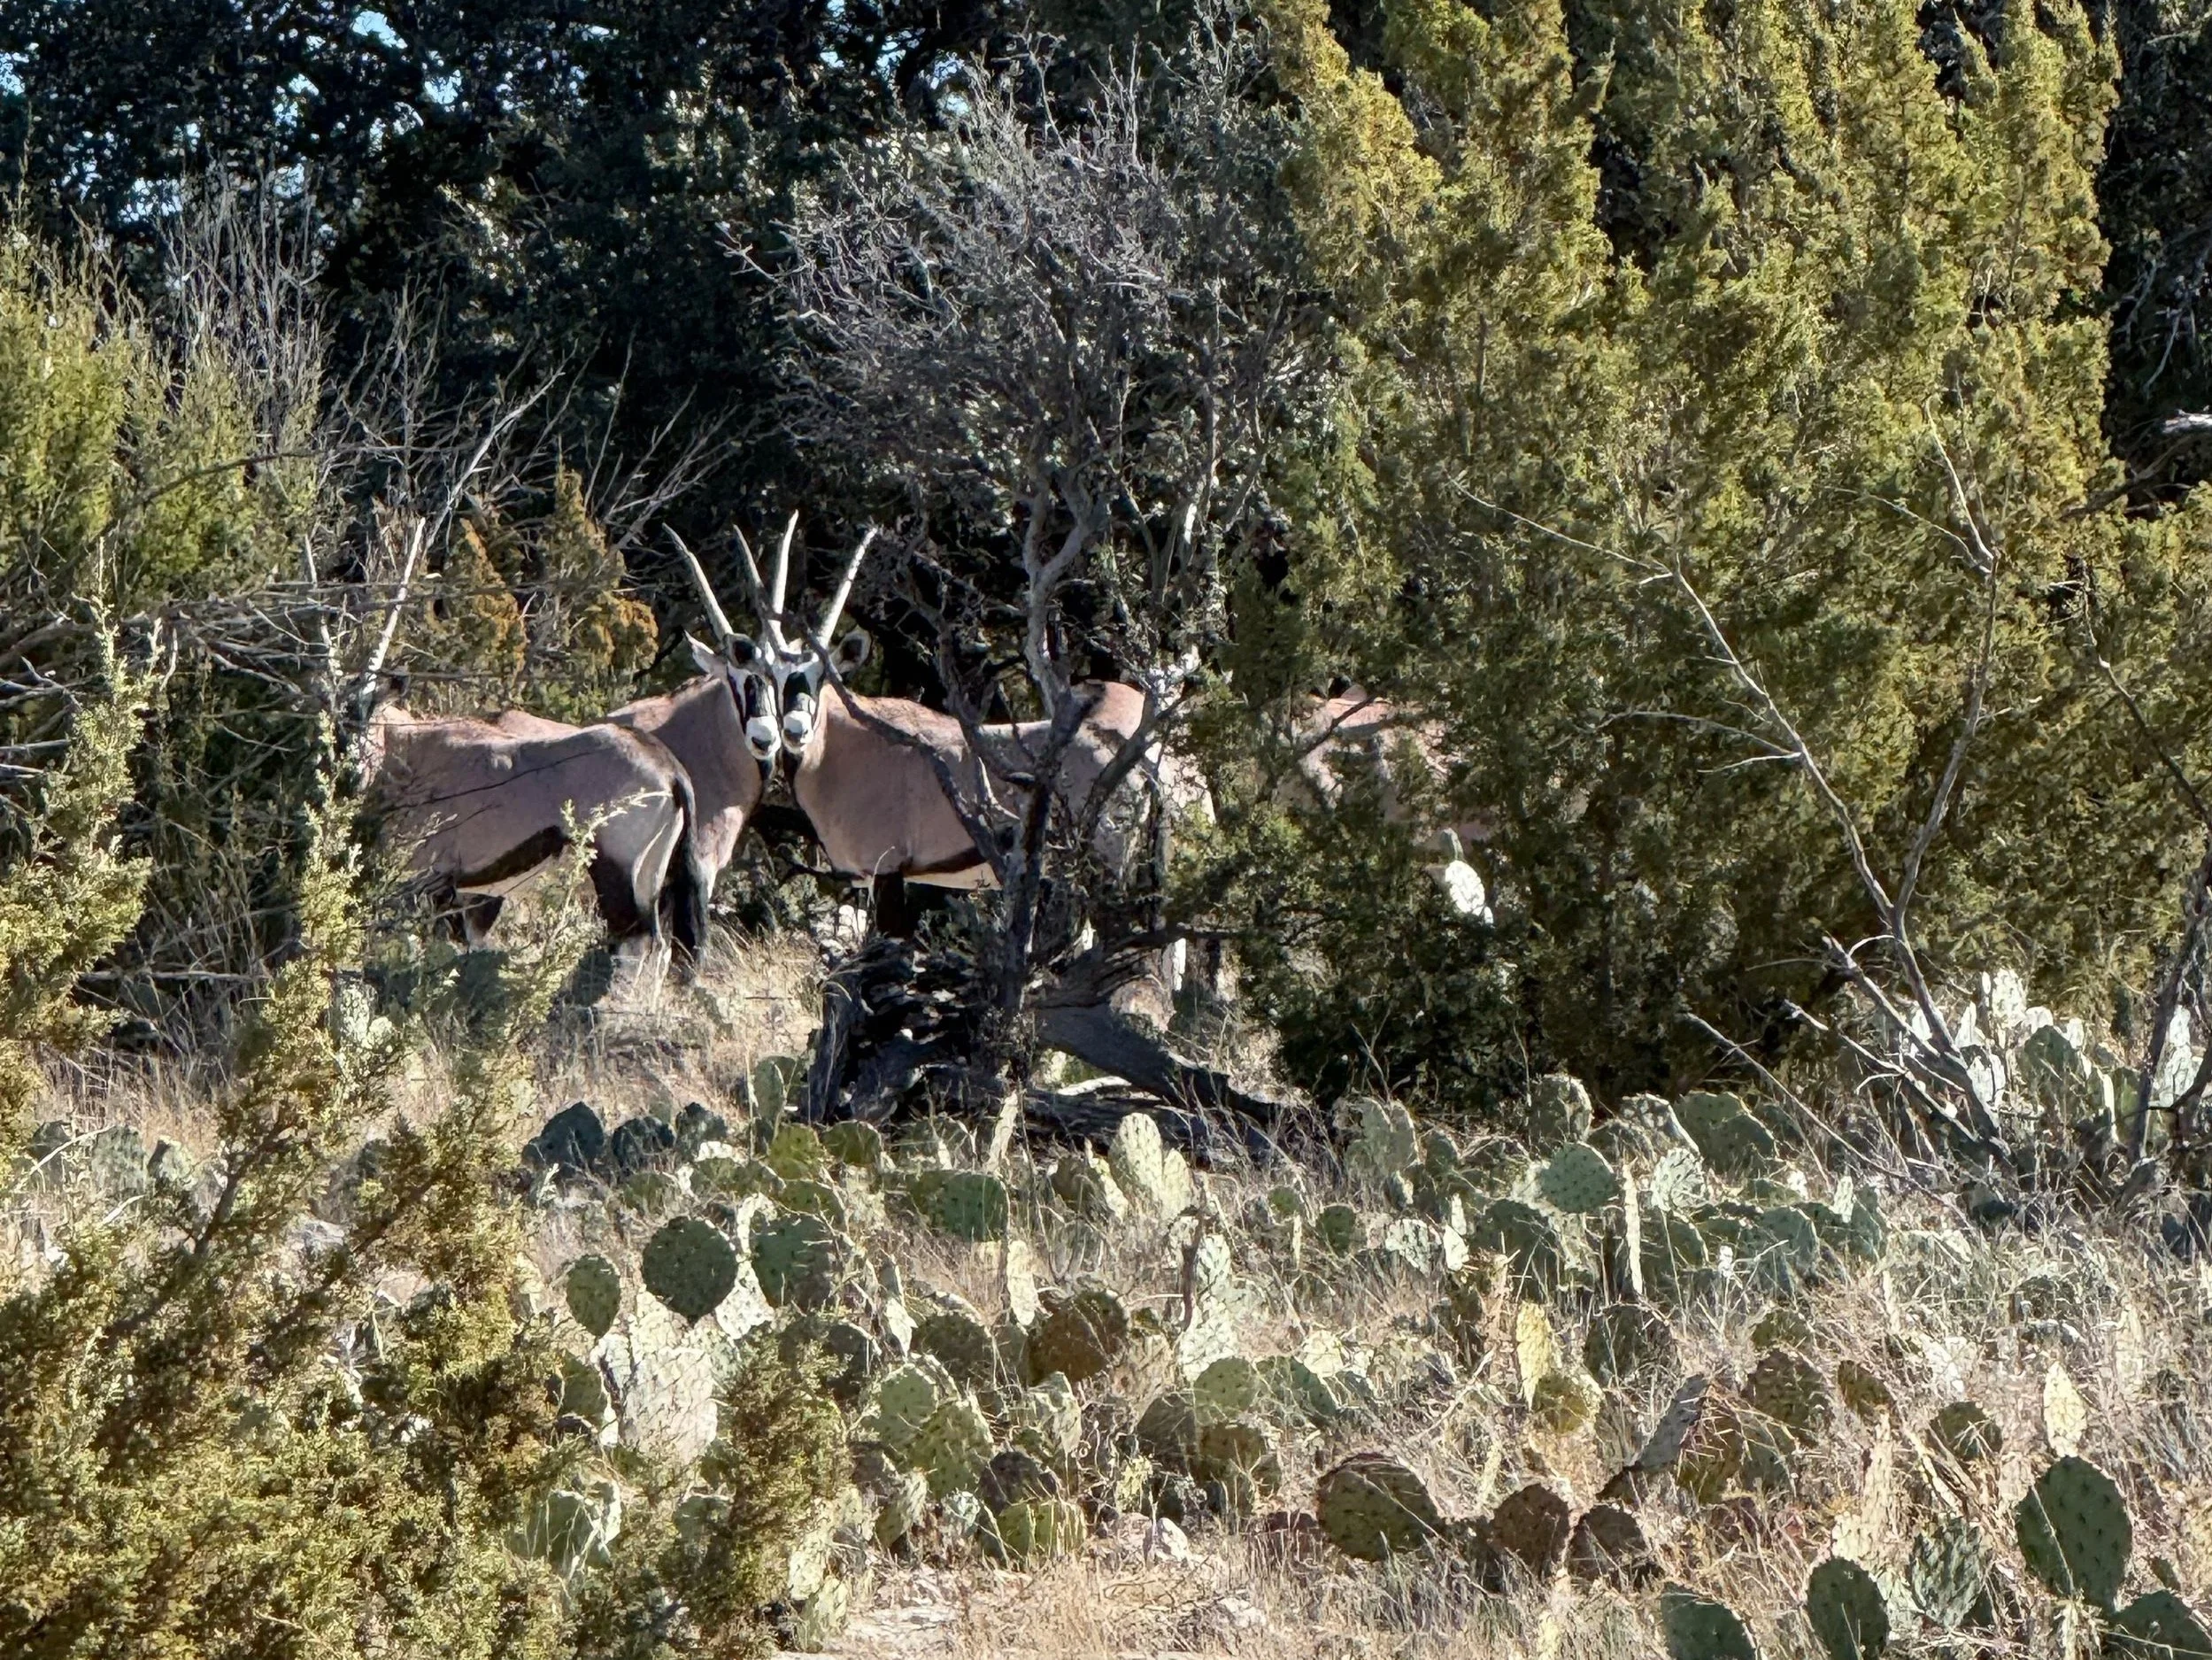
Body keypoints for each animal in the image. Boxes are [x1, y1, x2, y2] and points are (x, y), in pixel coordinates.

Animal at [361, 702, 713, 978]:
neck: (406, 749)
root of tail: (669, 770)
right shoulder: (470, 895)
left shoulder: (422, 882)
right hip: (654, 878)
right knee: (663, 949)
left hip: (616, 872)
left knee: (633, 943)